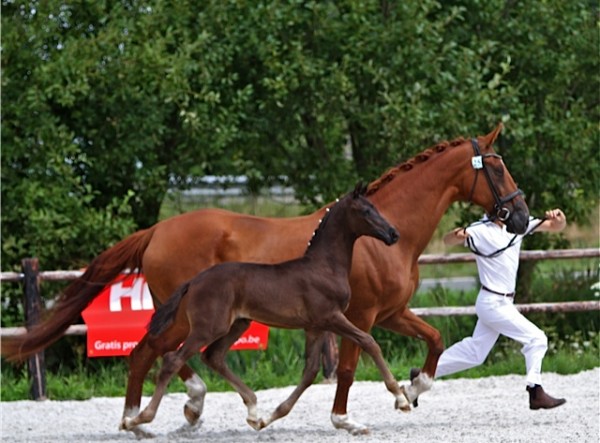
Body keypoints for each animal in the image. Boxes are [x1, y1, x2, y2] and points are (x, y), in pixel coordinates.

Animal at [0, 123, 528, 436]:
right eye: (497, 166)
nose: (522, 216)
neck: (380, 241)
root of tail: (157, 230)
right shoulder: (359, 316)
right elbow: (350, 367)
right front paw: (349, 416)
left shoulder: (391, 312)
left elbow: (434, 339)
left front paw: (414, 388)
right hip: (189, 316)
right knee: (152, 353)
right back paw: (158, 414)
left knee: (164, 355)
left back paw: (167, 415)